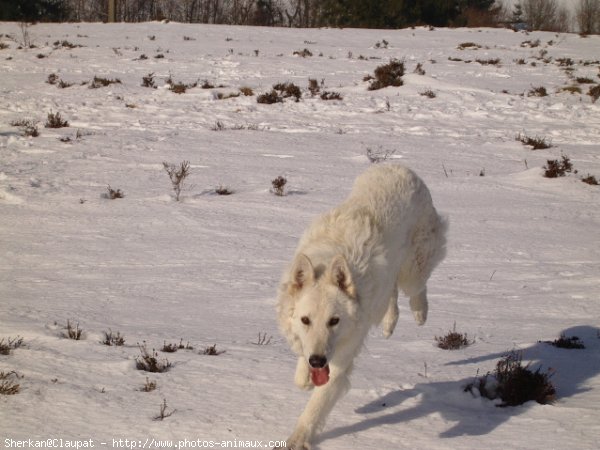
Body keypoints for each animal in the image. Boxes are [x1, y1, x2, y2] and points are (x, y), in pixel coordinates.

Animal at [276, 163, 446, 448]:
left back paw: (420, 313)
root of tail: (401, 166)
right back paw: (389, 323)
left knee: (415, 288)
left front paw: (298, 440)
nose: (318, 361)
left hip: (414, 267)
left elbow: (314, 408)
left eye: (334, 321)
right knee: (391, 292)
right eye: (305, 320)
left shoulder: (340, 361)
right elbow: (301, 375)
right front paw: (305, 377)